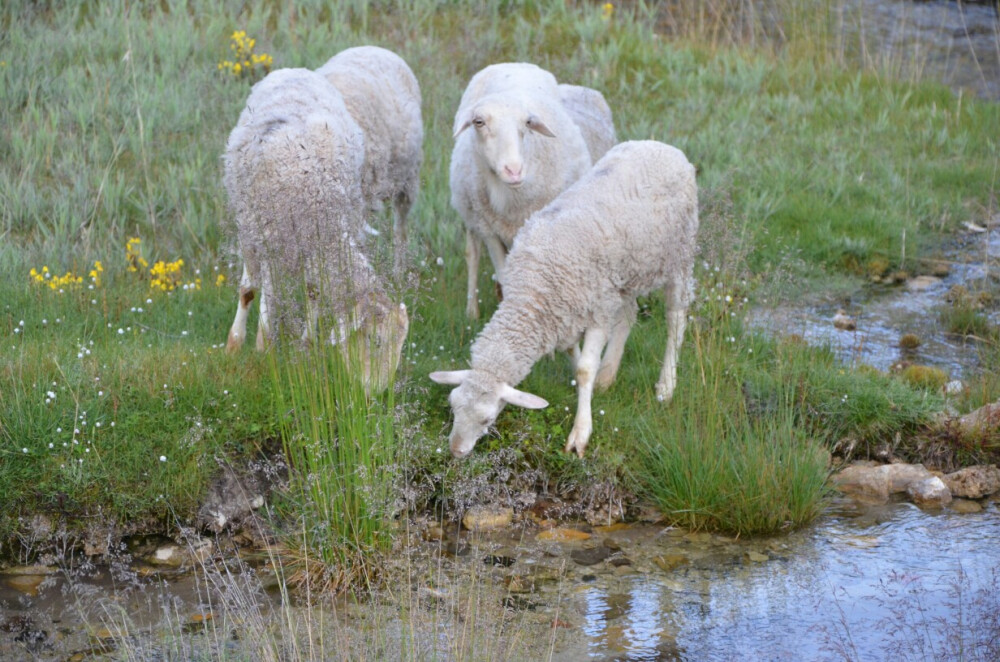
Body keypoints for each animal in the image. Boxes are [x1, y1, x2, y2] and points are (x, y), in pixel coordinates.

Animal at [223, 66, 406, 394]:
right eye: (375, 340)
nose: (377, 392)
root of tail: (296, 70)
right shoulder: (269, 237)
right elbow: (263, 294)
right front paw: (257, 349)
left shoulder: (315, 245)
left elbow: (313, 291)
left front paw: (305, 344)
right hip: (249, 218)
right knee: (252, 287)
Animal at [428, 142, 696, 460]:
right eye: (453, 405)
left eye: (487, 419)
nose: (456, 451)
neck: (533, 291)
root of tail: (662, 146)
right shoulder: (566, 316)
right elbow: (575, 357)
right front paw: (589, 390)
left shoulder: (596, 310)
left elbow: (584, 370)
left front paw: (581, 432)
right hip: (624, 275)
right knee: (628, 313)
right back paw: (608, 375)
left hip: (679, 255)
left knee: (675, 317)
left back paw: (666, 386)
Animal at [450, 61, 596, 320]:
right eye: (479, 122)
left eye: (527, 123)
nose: (514, 171)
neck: (511, 200)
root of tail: (512, 63)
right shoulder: (489, 230)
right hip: (471, 215)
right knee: (472, 255)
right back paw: (472, 311)